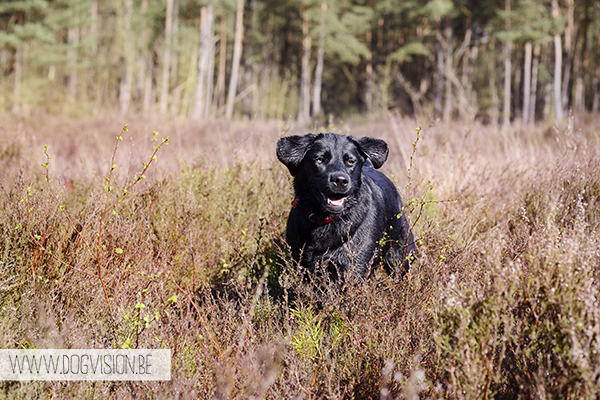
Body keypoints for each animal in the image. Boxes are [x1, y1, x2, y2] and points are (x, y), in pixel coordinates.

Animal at [276, 133, 412, 280]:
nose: (341, 180)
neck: (326, 220)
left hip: (399, 258)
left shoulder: (355, 269)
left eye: (350, 162)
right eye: (320, 159)